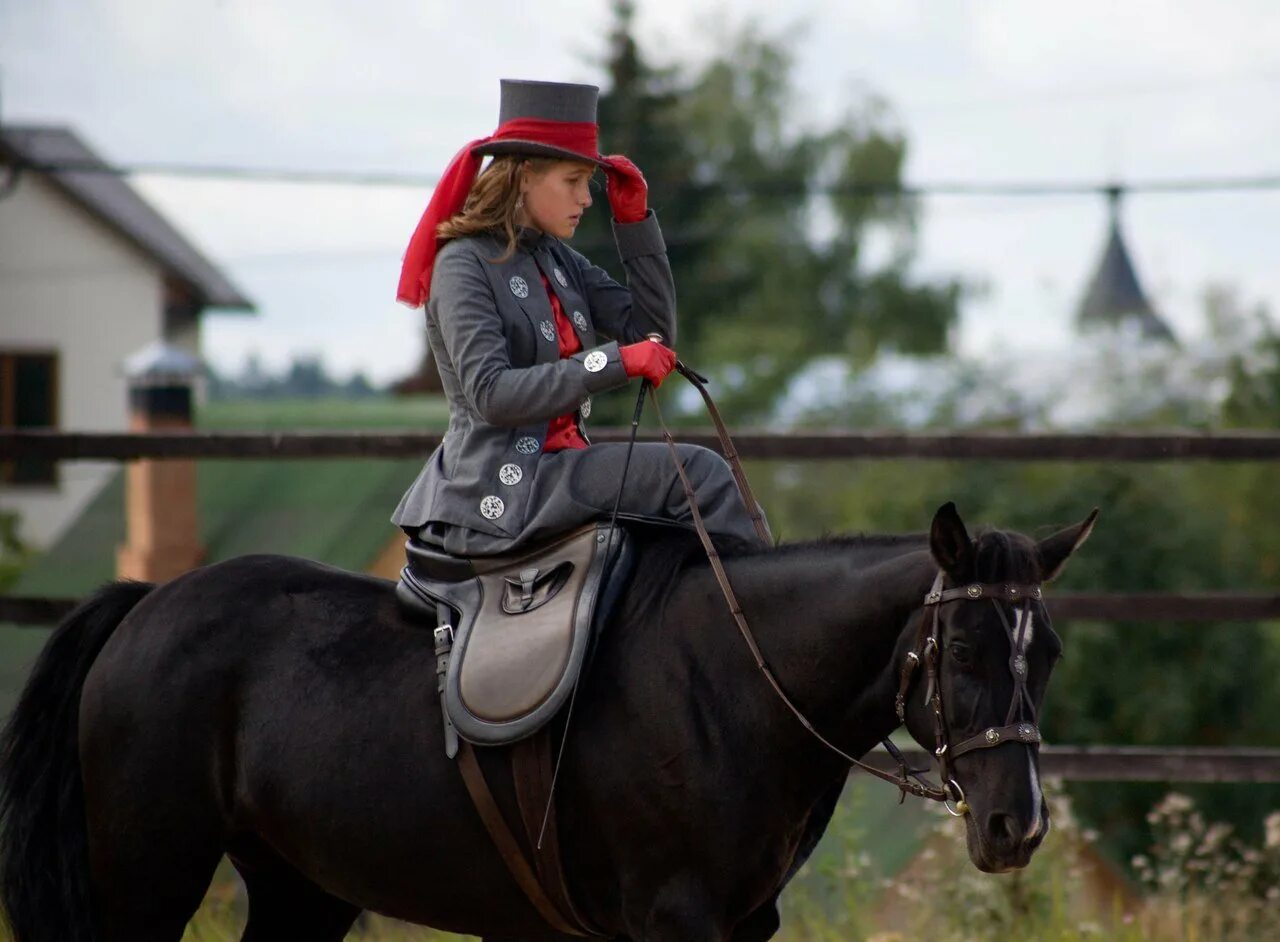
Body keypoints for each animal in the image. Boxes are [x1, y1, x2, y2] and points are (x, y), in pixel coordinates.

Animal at [5, 504, 1095, 936]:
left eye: (1044, 653)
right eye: (963, 651)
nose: (1017, 826)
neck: (734, 686)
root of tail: (146, 606)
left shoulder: (745, 922)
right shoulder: (675, 921)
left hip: (297, 889)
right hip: (148, 880)